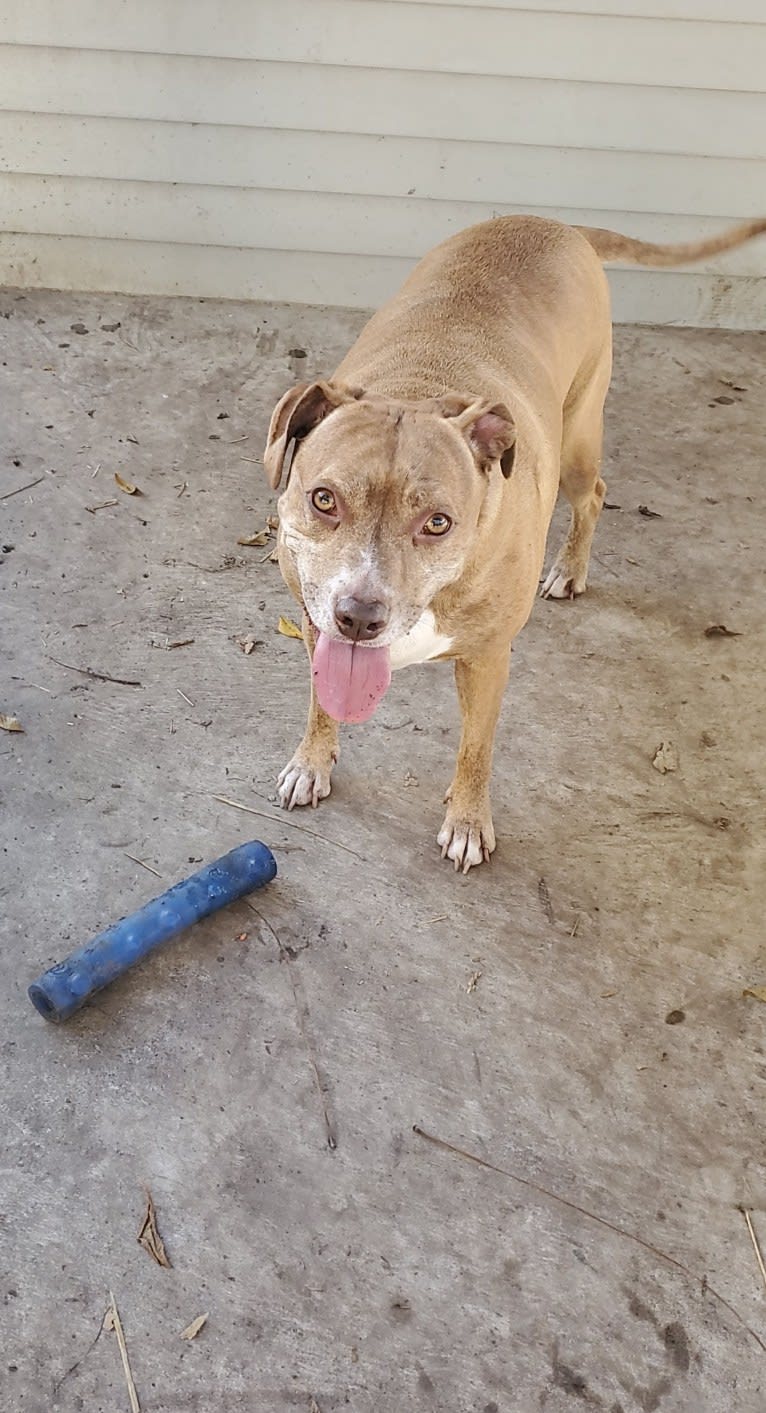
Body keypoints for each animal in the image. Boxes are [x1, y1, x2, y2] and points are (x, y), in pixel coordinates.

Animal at [264, 213, 766, 864]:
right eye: (324, 499)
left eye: (438, 523)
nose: (359, 617)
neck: (417, 389)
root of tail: (556, 222)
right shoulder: (313, 624)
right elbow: (321, 703)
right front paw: (312, 763)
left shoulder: (488, 660)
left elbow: (475, 750)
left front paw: (468, 821)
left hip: (578, 443)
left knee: (594, 493)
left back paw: (570, 568)